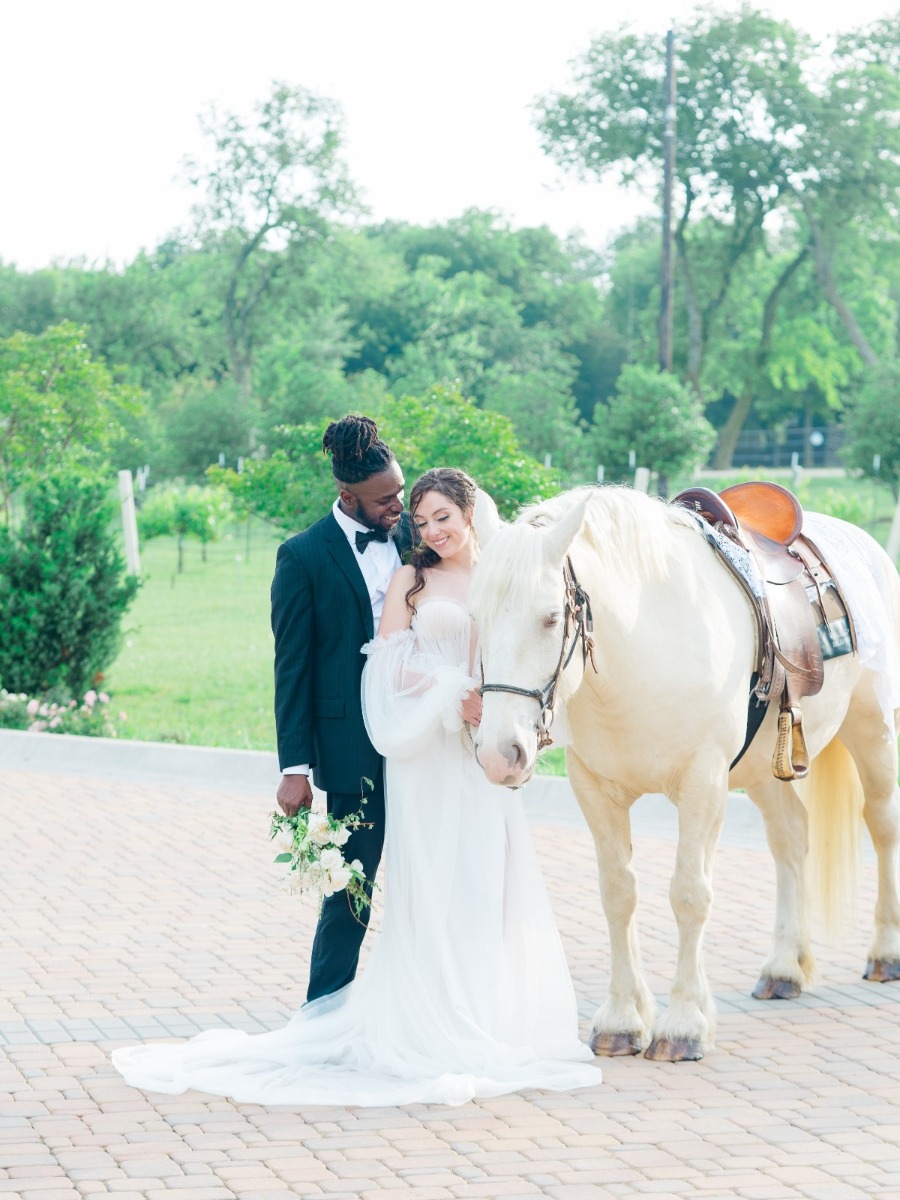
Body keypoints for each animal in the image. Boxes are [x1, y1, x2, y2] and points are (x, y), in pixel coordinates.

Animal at [472, 484, 900, 1060]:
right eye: (476, 616)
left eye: (548, 618)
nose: (500, 753)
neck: (646, 649)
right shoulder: (595, 790)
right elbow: (617, 894)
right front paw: (622, 1019)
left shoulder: (704, 784)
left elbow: (690, 895)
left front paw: (684, 1025)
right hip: (765, 771)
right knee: (791, 837)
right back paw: (784, 967)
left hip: (872, 730)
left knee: (882, 824)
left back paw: (885, 953)